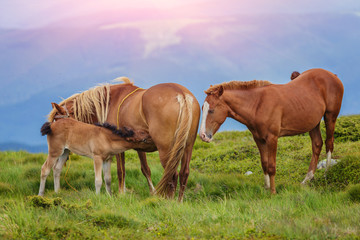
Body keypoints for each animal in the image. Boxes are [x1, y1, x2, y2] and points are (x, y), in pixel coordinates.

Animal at [47, 79, 200, 201]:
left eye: (58, 122)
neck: (110, 101)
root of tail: (182, 94)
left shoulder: (117, 146)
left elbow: (121, 171)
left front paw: (121, 193)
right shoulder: (139, 145)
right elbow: (145, 169)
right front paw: (152, 192)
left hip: (166, 150)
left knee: (172, 173)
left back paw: (170, 201)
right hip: (187, 147)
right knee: (184, 173)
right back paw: (179, 201)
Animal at [200, 67, 344, 193]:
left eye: (212, 110)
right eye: (203, 108)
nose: (203, 136)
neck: (257, 104)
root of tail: (334, 76)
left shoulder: (272, 138)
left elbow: (271, 166)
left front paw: (273, 192)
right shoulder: (259, 139)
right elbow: (264, 164)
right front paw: (266, 188)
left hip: (330, 116)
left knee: (329, 143)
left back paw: (326, 175)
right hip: (313, 123)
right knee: (317, 144)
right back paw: (307, 179)